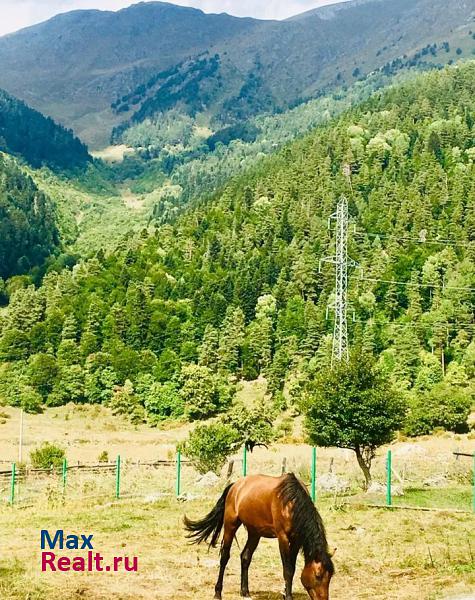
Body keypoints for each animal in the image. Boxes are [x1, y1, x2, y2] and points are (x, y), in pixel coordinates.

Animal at [184, 474, 336, 600]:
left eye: (330, 576)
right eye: (318, 575)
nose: (324, 599)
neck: (291, 503)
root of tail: (235, 485)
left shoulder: (296, 540)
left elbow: (291, 568)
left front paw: (286, 592)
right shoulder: (282, 537)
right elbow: (287, 569)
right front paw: (288, 596)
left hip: (254, 533)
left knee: (245, 557)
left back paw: (245, 592)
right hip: (230, 525)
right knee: (224, 557)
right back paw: (217, 593)